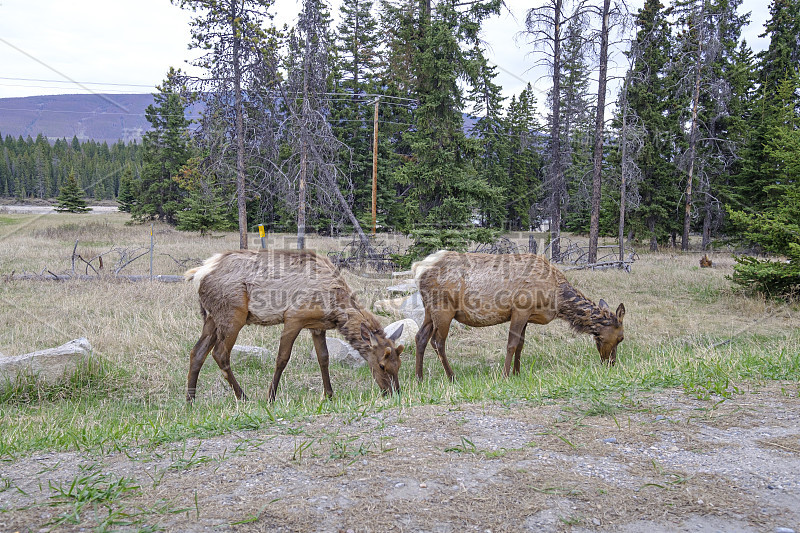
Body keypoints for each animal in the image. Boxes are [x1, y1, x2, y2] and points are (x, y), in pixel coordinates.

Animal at [184, 248, 404, 400]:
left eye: (399, 365)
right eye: (382, 365)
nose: (394, 392)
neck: (334, 307)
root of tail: (198, 274)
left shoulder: (317, 326)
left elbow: (324, 358)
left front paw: (329, 394)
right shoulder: (293, 317)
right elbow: (282, 358)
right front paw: (270, 397)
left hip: (212, 317)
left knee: (197, 352)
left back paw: (190, 400)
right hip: (232, 314)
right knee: (220, 353)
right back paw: (243, 397)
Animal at [412, 249, 624, 378]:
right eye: (620, 338)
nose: (611, 363)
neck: (556, 298)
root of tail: (418, 268)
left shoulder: (528, 316)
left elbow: (521, 345)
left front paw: (517, 372)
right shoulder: (521, 309)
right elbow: (512, 344)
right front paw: (505, 375)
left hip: (429, 310)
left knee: (420, 337)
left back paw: (419, 378)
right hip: (443, 309)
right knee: (437, 342)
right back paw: (451, 376)